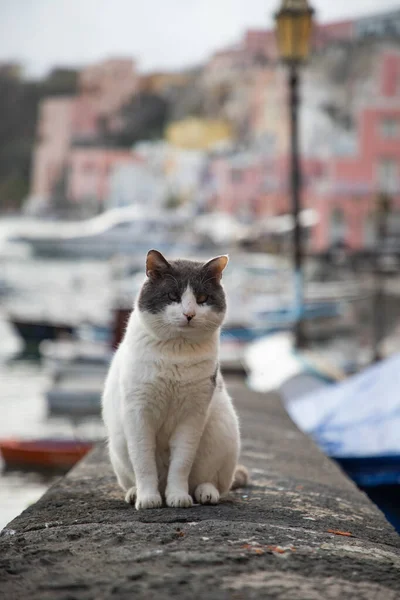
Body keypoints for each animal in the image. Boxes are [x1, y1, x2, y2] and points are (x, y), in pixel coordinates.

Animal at [101, 250, 247, 510]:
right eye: (172, 296)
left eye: (202, 298)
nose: (189, 314)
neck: (176, 352)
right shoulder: (138, 413)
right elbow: (143, 461)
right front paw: (148, 498)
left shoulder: (192, 415)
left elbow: (181, 463)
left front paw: (178, 496)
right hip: (118, 445)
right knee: (132, 475)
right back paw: (135, 492)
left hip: (223, 436)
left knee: (213, 481)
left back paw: (205, 493)